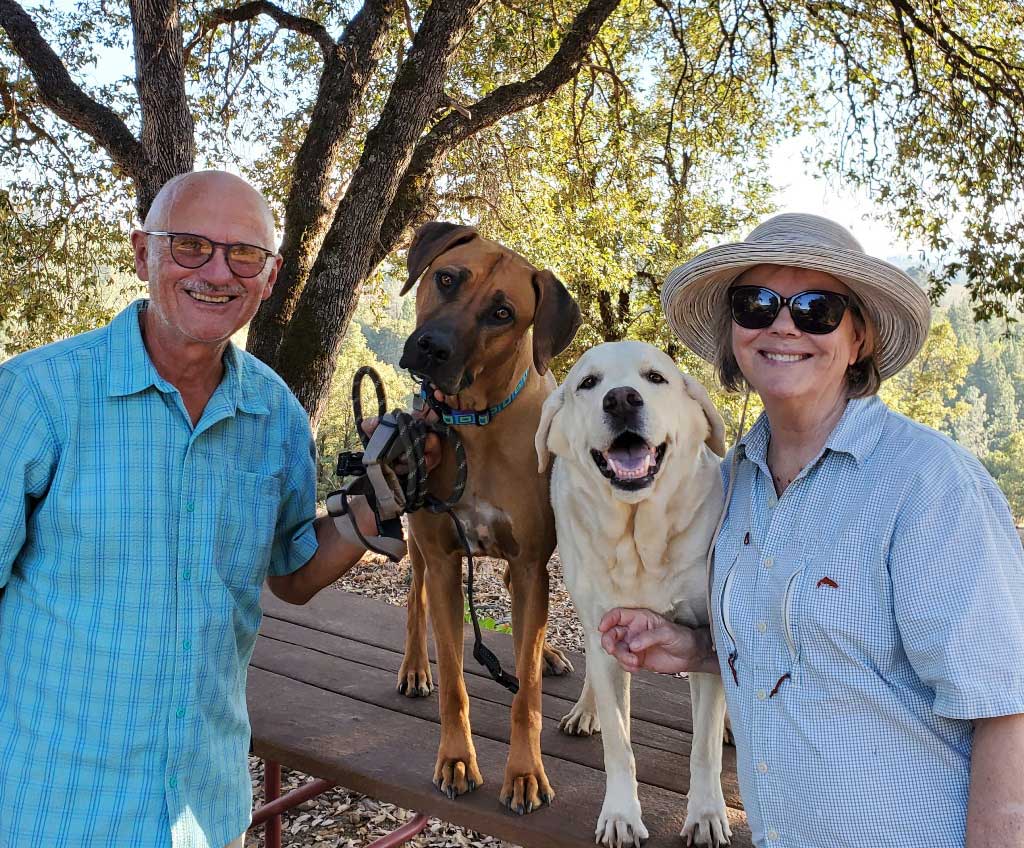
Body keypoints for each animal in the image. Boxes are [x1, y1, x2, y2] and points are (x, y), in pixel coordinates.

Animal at [395, 223, 581, 815]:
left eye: (503, 313)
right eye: (446, 279)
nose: (432, 348)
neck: (475, 422)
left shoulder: (529, 565)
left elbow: (527, 694)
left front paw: (524, 773)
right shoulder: (443, 559)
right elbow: (455, 679)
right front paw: (456, 759)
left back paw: (546, 653)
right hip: (418, 548)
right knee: (415, 602)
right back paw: (414, 667)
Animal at [536, 342, 729, 843]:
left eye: (655, 377)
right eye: (588, 383)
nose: (622, 399)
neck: (639, 537)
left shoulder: (704, 635)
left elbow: (703, 749)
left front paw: (705, 814)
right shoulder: (607, 633)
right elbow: (618, 744)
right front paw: (621, 815)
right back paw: (585, 710)